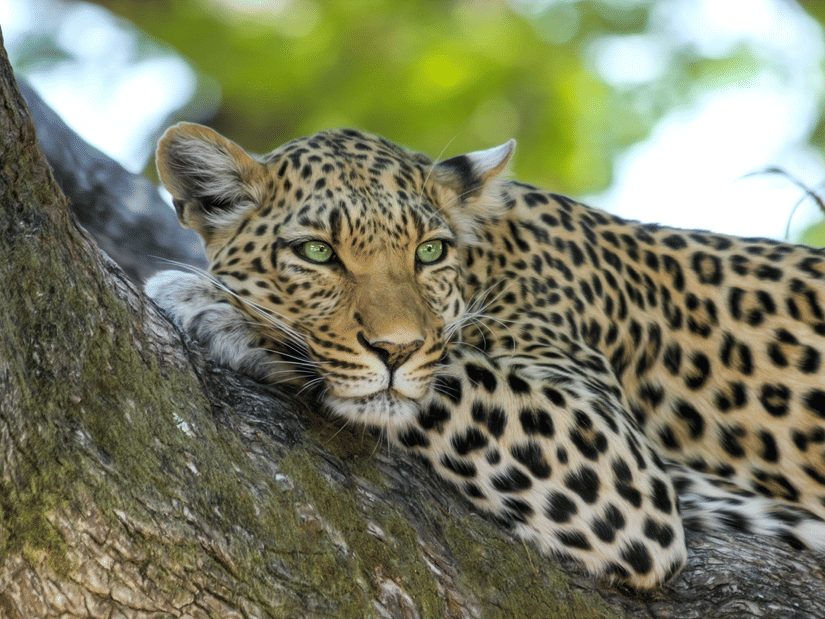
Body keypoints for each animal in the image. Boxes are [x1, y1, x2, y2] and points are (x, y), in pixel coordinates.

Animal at [145, 122, 825, 590]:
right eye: (317, 253)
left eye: (429, 252)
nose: (396, 349)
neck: (489, 260)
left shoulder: (619, 463)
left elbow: (449, 374)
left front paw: (217, 306)